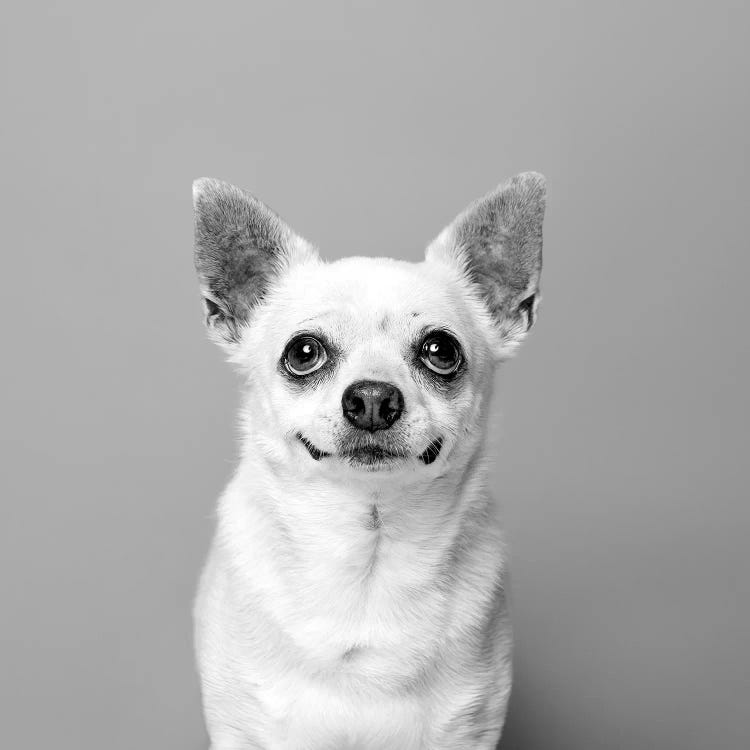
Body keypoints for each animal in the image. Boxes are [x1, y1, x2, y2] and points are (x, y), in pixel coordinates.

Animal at [192, 173, 548, 748]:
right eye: (304, 353)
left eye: (440, 350)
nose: (374, 398)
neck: (368, 559)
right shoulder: (243, 731)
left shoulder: (468, 730)